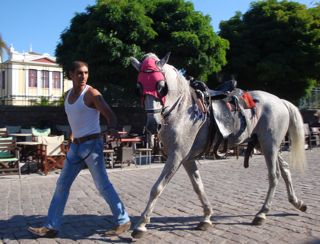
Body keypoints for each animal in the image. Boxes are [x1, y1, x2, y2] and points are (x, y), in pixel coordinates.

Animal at [130, 53, 308, 238]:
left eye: (161, 86)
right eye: (139, 87)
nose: (153, 125)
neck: (182, 109)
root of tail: (279, 101)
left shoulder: (176, 155)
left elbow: (157, 188)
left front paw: (141, 224)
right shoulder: (186, 158)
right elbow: (198, 186)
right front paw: (207, 216)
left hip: (270, 145)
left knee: (274, 175)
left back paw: (262, 214)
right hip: (264, 145)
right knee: (285, 169)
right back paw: (297, 202)